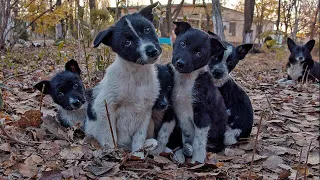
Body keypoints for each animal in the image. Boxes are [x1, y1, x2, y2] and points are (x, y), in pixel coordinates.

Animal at [85, 2, 161, 155]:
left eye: (147, 29)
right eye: (127, 42)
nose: (152, 51)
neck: (137, 75)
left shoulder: (146, 112)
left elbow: (139, 138)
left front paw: (138, 155)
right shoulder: (104, 106)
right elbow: (110, 136)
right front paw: (112, 153)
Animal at [170, 21, 228, 163]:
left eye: (199, 53)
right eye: (183, 43)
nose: (180, 63)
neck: (187, 80)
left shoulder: (202, 115)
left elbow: (199, 142)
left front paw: (197, 161)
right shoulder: (182, 113)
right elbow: (188, 136)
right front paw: (187, 151)